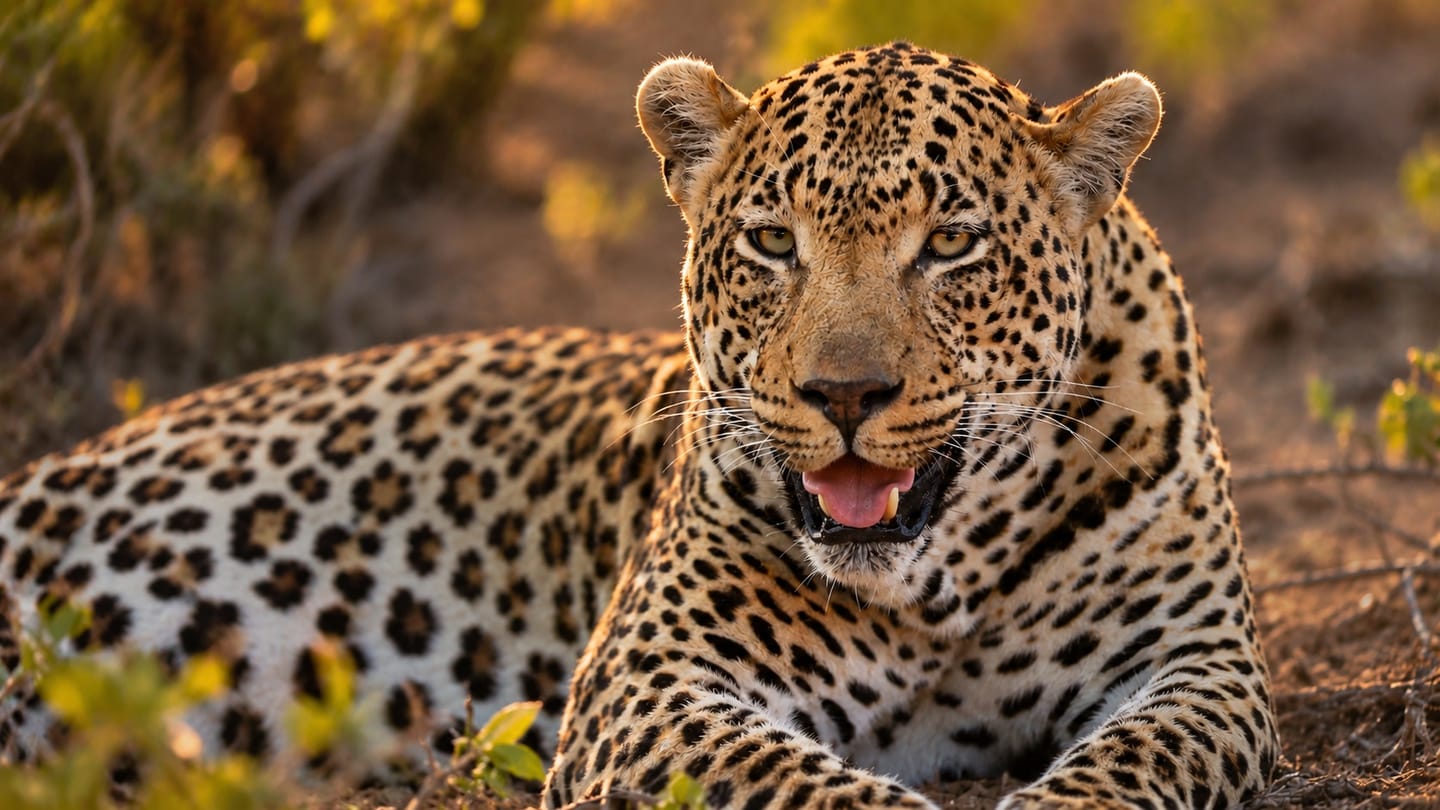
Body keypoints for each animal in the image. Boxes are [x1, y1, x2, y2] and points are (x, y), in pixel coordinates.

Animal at [0, 41, 1278, 809]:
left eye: (953, 244)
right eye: (771, 242)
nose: (845, 396)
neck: (937, 583)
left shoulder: (1200, 664)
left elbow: (1133, 764)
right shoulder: (650, 682)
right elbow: (805, 785)